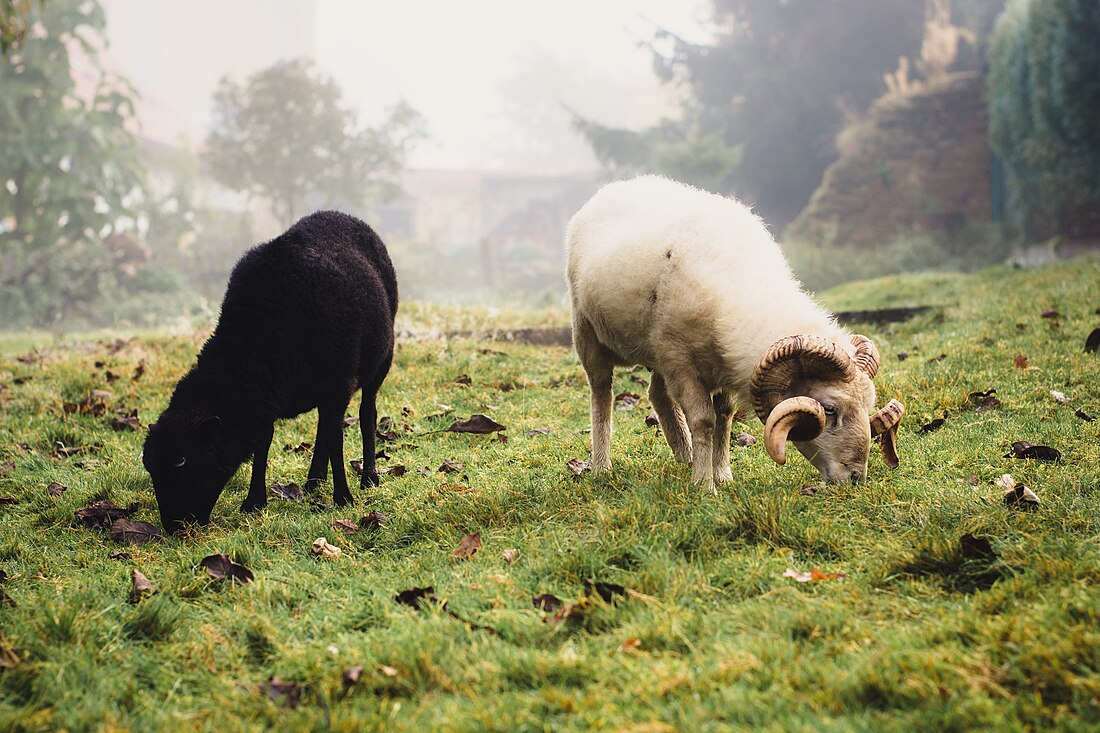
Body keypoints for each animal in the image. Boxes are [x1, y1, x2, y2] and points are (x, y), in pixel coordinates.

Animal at [144, 210, 398, 530]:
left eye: (182, 460)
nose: (175, 526)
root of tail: (341, 214)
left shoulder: (338, 383)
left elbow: (336, 437)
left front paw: (343, 498)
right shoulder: (264, 398)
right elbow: (264, 442)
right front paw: (254, 501)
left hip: (381, 358)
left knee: (366, 413)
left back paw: (368, 477)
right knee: (322, 425)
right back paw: (314, 480)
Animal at [567, 173, 902, 488]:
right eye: (830, 410)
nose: (856, 477)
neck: (745, 290)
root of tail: (613, 189)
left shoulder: (722, 363)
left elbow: (724, 417)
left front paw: (722, 474)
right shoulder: (680, 361)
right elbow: (704, 419)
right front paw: (704, 485)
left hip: (656, 350)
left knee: (657, 394)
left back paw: (685, 454)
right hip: (588, 331)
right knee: (601, 394)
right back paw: (602, 466)